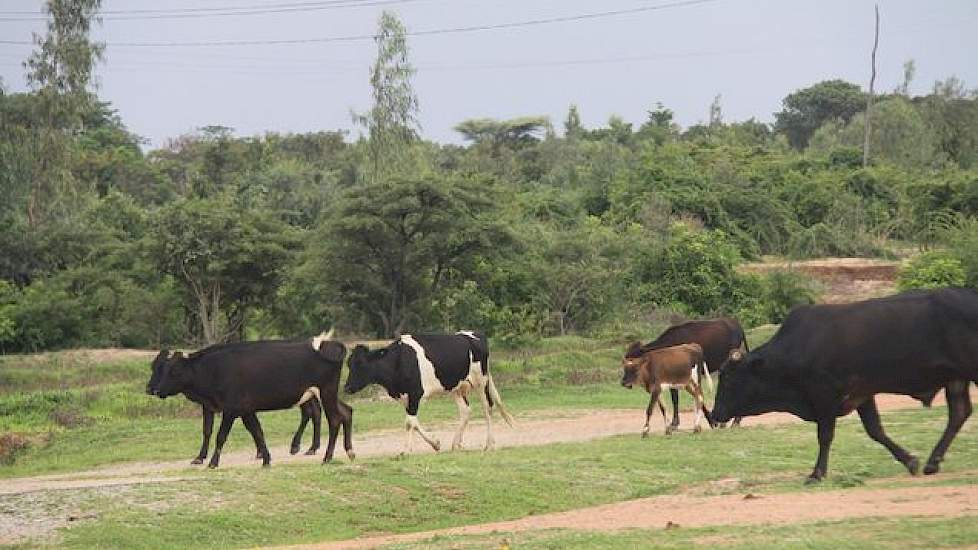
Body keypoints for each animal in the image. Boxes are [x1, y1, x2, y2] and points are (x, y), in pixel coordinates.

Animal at [149, 352, 322, 464]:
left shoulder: (232, 410)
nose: (153, 389)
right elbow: (253, 430)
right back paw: (310, 447)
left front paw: (213, 461)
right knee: (314, 413)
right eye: (157, 368)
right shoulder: (215, 407)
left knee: (311, 413)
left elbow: (222, 435)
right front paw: (199, 457)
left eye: (175, 371)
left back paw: (303, 447)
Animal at [344, 334, 516, 454]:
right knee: (466, 411)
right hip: (456, 387)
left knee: (487, 407)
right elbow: (413, 422)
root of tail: (474, 335)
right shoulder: (406, 398)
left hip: (481, 381)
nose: (346, 387)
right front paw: (434, 443)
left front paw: (406, 450)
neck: (398, 361)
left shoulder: (415, 394)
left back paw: (489, 444)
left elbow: (410, 423)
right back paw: (456, 444)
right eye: (349, 364)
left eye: (361, 364)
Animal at [708, 292, 976, 486]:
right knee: (959, 413)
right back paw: (933, 462)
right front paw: (910, 461)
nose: (715, 413)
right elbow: (875, 430)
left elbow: (825, 435)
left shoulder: (824, 395)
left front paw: (816, 473)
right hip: (956, 379)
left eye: (729, 378)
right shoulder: (862, 394)